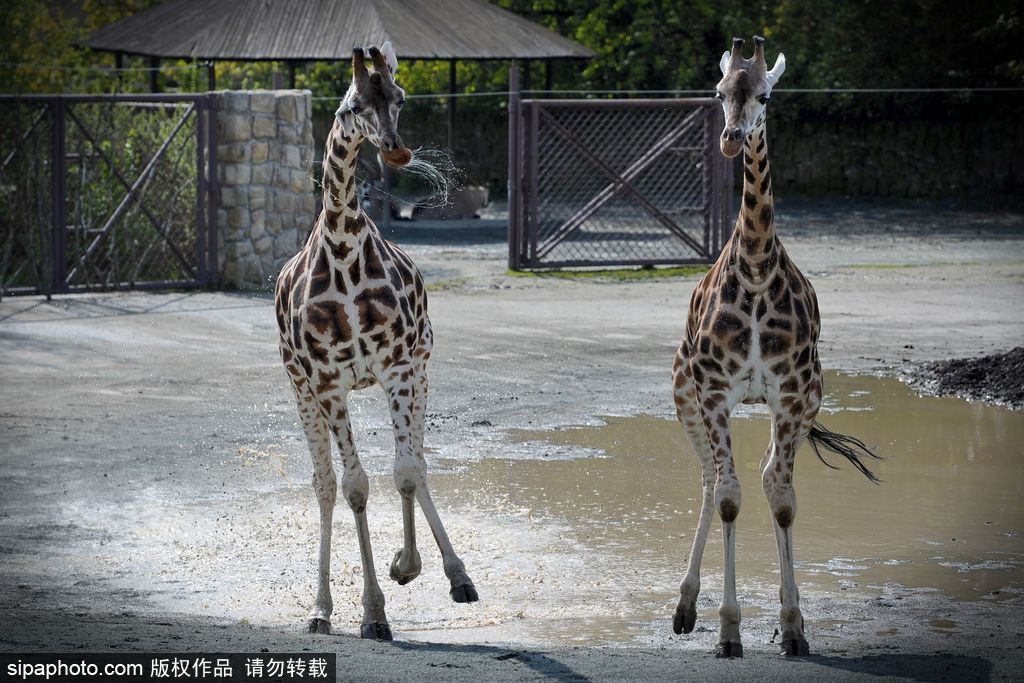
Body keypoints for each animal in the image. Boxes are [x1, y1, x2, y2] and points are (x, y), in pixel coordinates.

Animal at [274, 42, 477, 643]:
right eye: (353, 106)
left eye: (401, 97)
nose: (397, 149)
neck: (343, 249)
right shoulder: (328, 384)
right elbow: (354, 487)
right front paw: (371, 612)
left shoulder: (400, 368)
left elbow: (406, 471)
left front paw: (407, 567)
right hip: (300, 390)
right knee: (323, 484)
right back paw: (320, 610)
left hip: (420, 370)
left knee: (418, 462)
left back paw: (457, 575)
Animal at [667, 36, 876, 655]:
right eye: (718, 92)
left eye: (765, 95)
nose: (732, 139)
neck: (758, 267)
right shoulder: (713, 392)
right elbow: (729, 497)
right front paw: (728, 631)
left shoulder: (791, 393)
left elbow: (781, 500)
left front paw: (792, 626)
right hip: (685, 396)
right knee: (711, 481)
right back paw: (684, 609)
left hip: (804, 406)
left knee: (760, 476)